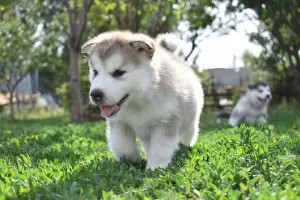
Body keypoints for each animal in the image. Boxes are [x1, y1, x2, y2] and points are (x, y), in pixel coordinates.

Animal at [82, 30, 204, 169]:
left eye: (118, 72)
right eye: (95, 72)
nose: (95, 94)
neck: (138, 102)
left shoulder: (166, 121)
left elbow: (160, 148)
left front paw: (155, 168)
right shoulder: (119, 122)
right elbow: (121, 145)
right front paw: (132, 160)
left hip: (190, 122)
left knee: (189, 134)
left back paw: (185, 146)